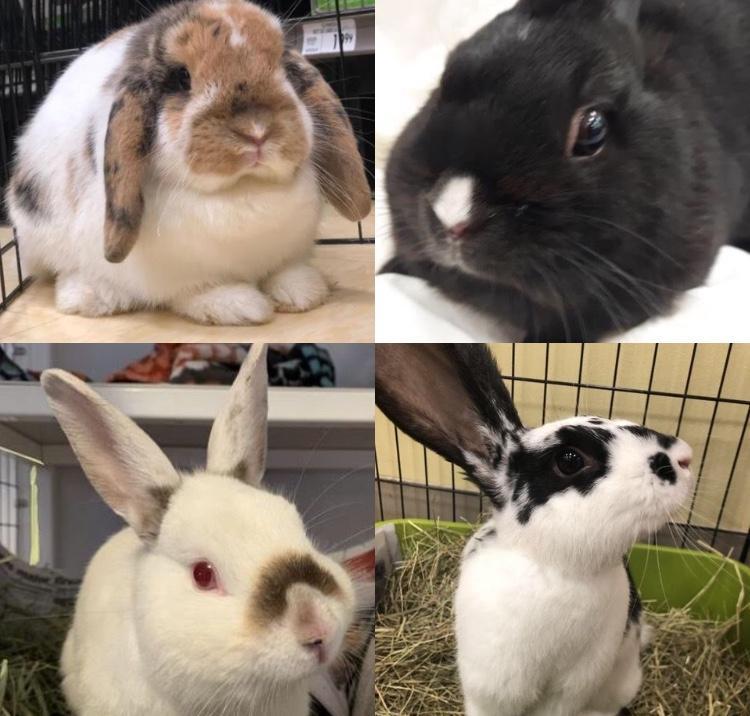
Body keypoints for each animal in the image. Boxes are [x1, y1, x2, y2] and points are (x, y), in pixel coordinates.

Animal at [6, 0, 371, 325]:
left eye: (283, 65)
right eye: (181, 78)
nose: (256, 131)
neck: (244, 190)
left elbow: (286, 271)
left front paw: (303, 292)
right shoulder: (183, 276)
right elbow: (197, 292)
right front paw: (238, 306)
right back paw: (92, 297)